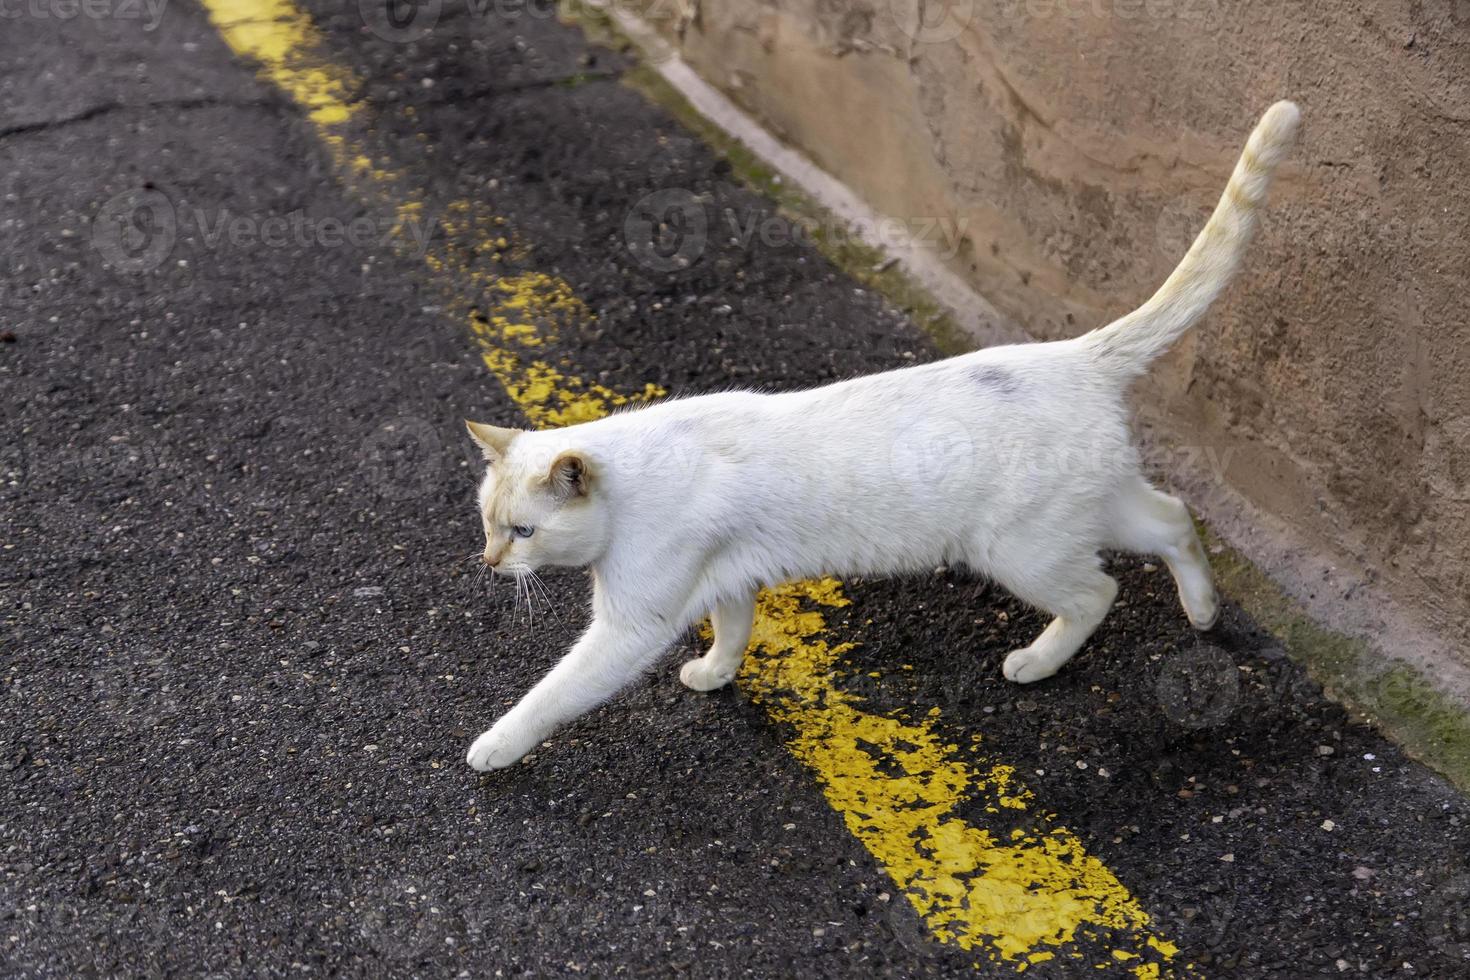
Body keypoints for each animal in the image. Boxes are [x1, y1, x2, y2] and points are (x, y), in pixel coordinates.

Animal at [458, 101, 1299, 775]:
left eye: (523, 532)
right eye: (487, 526)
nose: (490, 563)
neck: (632, 485)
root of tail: (1075, 354)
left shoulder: (631, 625)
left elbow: (554, 693)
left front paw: (494, 747)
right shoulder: (728, 579)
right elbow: (733, 630)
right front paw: (714, 674)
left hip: (1020, 550)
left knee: (1100, 591)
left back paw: (1037, 661)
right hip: (1094, 508)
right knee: (1175, 521)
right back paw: (1203, 612)